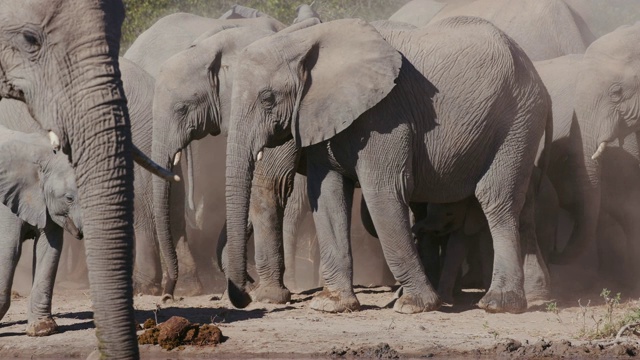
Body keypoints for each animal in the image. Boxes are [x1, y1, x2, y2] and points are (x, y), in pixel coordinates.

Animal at [226, 17, 556, 316]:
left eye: (267, 98)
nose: (244, 296)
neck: (307, 40)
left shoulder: (385, 114)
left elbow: (384, 191)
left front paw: (414, 305)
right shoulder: (318, 116)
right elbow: (329, 195)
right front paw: (332, 305)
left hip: (518, 120)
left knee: (497, 200)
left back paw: (499, 305)